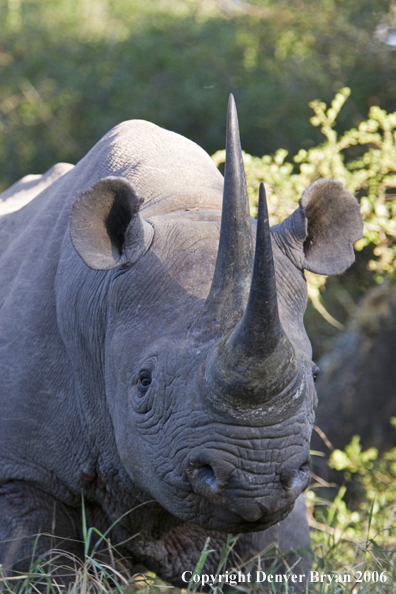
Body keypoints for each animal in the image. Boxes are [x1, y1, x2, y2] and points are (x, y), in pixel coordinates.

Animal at [0, 97, 362, 588]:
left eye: (316, 375)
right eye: (143, 382)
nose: (256, 478)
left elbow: (278, 561)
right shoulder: (23, 471)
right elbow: (39, 568)